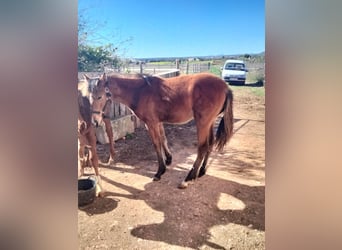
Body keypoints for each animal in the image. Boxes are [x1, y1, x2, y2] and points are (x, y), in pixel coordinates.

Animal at [92, 72, 234, 188]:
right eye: (91, 96)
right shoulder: (158, 122)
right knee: (210, 143)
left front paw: (160, 171)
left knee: (203, 147)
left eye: (99, 97)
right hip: (210, 122)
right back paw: (202, 171)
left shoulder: (151, 123)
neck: (140, 91)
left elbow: (156, 144)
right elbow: (163, 139)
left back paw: (189, 178)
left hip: (202, 123)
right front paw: (168, 159)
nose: (95, 121)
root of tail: (225, 87)